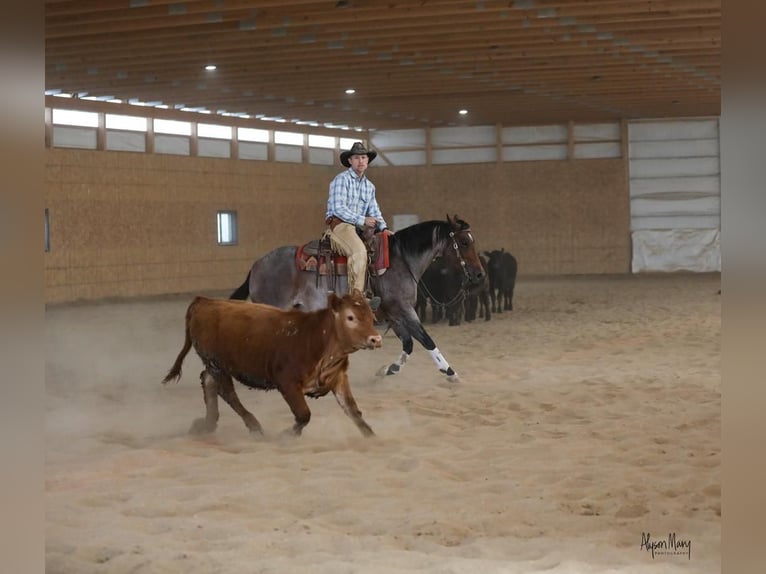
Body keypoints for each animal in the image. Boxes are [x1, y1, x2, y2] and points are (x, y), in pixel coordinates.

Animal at [166, 292, 388, 436]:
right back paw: (253, 426)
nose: (376, 339)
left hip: (216, 365)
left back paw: (207, 425)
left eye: (371, 317)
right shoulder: (286, 382)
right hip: (217, 364)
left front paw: (371, 437)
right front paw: (287, 435)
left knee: (209, 381)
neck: (317, 339)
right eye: (350, 317)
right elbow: (303, 414)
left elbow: (353, 410)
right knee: (228, 393)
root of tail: (203, 302)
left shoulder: (338, 378)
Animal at [231, 215, 488, 382]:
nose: (479, 274)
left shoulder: (393, 314)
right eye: (464, 242)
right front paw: (450, 372)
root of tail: (257, 265)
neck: (401, 260)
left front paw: (389, 369)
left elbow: (409, 342)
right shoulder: (404, 309)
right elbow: (425, 339)